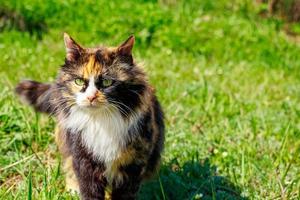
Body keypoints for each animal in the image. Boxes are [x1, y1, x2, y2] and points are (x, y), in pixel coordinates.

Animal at [15, 33, 165, 199]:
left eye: (107, 82)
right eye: (79, 81)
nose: (91, 97)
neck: (101, 122)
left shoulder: (133, 165)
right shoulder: (84, 160)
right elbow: (89, 191)